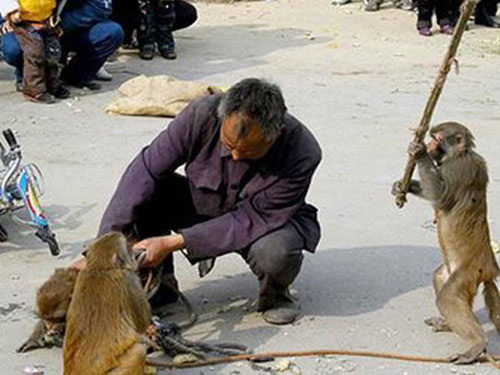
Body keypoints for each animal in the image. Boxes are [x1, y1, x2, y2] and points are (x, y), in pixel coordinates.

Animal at [63, 232, 151, 375]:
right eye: (128, 247)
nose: (135, 250)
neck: (100, 267)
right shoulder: (128, 279)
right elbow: (142, 321)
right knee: (139, 351)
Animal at [392, 122, 500, 364]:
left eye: (436, 139)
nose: (429, 145)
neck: (459, 154)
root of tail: (489, 268)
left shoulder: (458, 168)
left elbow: (442, 197)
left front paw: (419, 153)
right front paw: (403, 186)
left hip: (470, 271)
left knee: (448, 298)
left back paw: (477, 344)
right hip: (459, 271)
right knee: (441, 277)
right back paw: (450, 325)